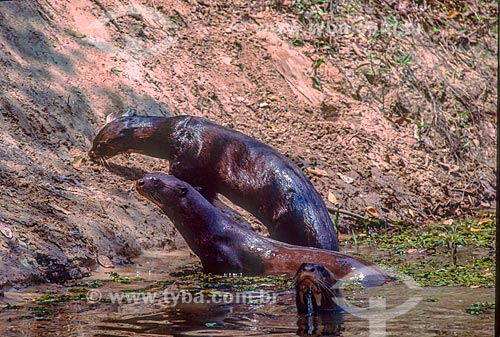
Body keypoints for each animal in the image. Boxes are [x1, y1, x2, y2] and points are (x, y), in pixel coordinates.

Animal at [90, 115, 340, 249]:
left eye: (102, 144)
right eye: (94, 139)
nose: (91, 154)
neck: (174, 132)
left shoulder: (186, 159)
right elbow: (207, 192)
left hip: (285, 216)